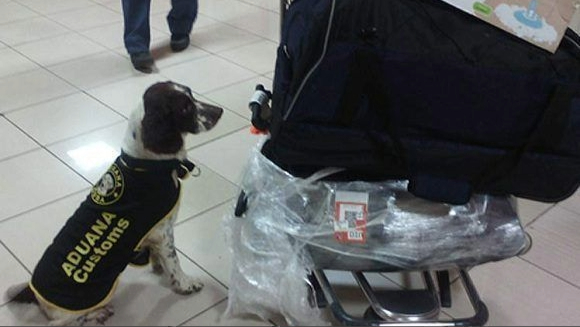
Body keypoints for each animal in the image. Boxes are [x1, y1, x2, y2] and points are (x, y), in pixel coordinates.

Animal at [6, 80, 224, 326]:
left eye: (191, 94)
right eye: (185, 108)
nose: (219, 111)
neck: (149, 164)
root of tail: (34, 294)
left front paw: (158, 267)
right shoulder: (163, 232)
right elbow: (174, 262)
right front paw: (186, 283)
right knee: (65, 322)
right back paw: (98, 313)